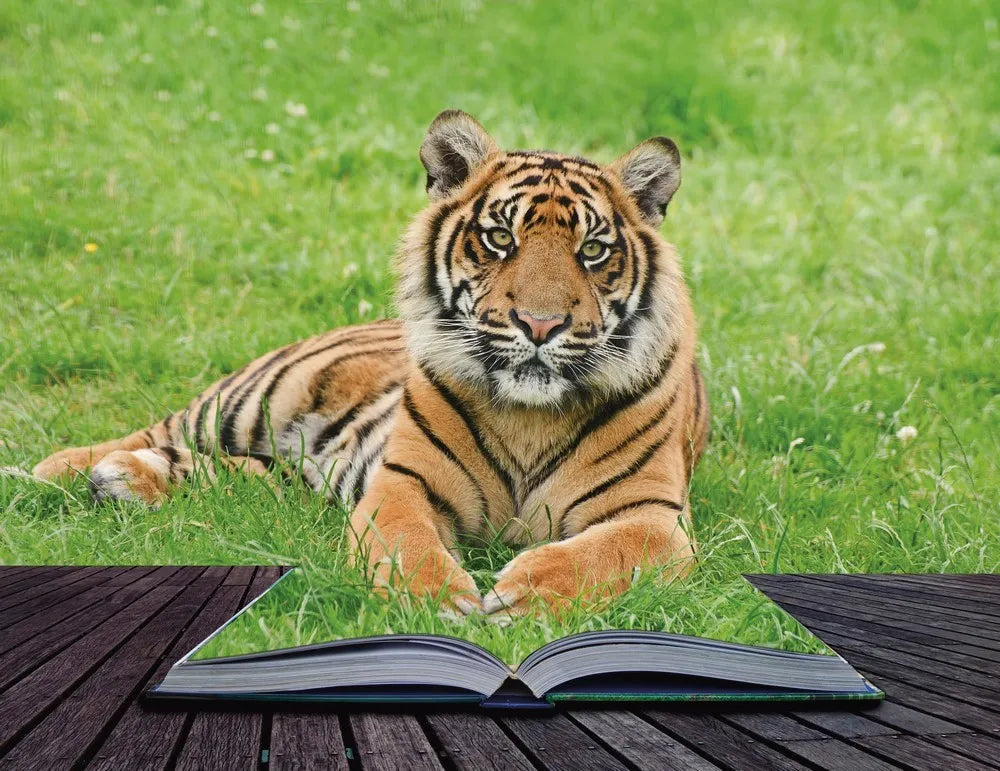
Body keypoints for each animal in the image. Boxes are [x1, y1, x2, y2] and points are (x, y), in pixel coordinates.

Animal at [32, 110, 709, 619]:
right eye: (499, 239)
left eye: (592, 250)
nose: (540, 326)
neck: (529, 415)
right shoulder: (405, 481)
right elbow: (406, 541)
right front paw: (437, 600)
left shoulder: (654, 519)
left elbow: (600, 555)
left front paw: (525, 596)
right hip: (259, 395)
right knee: (163, 429)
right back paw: (61, 470)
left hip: (298, 475)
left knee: (245, 475)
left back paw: (129, 479)